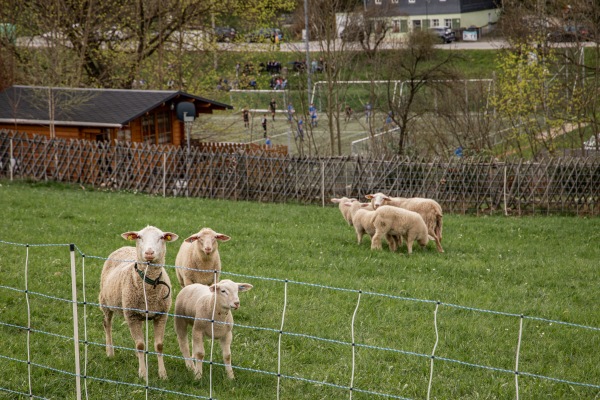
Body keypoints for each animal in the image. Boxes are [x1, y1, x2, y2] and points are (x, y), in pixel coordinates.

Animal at [98, 225, 178, 378]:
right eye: (139, 237)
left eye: (161, 237)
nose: (149, 252)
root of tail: (124, 247)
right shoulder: (132, 315)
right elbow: (141, 345)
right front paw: (143, 373)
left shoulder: (161, 315)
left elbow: (159, 345)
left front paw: (163, 374)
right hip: (106, 302)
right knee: (107, 324)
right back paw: (110, 352)